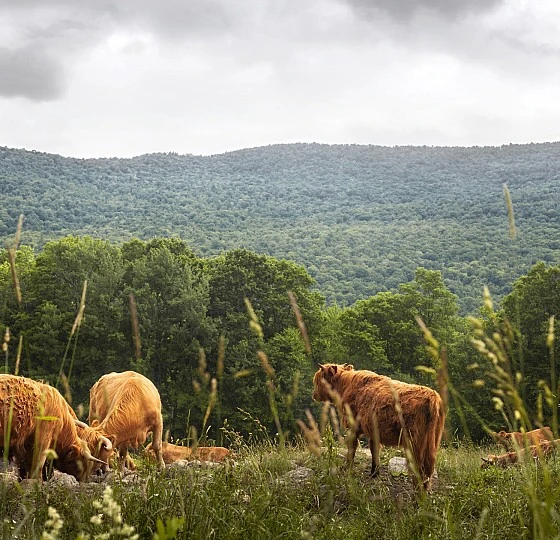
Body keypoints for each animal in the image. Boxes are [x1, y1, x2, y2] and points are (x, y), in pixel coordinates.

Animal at [310, 362, 446, 490]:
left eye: (317, 380)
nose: (314, 394)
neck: (345, 386)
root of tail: (432, 396)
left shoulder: (353, 426)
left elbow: (352, 448)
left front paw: (347, 467)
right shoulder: (373, 431)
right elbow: (374, 450)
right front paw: (374, 473)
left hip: (415, 443)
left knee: (419, 468)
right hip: (432, 442)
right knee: (428, 468)